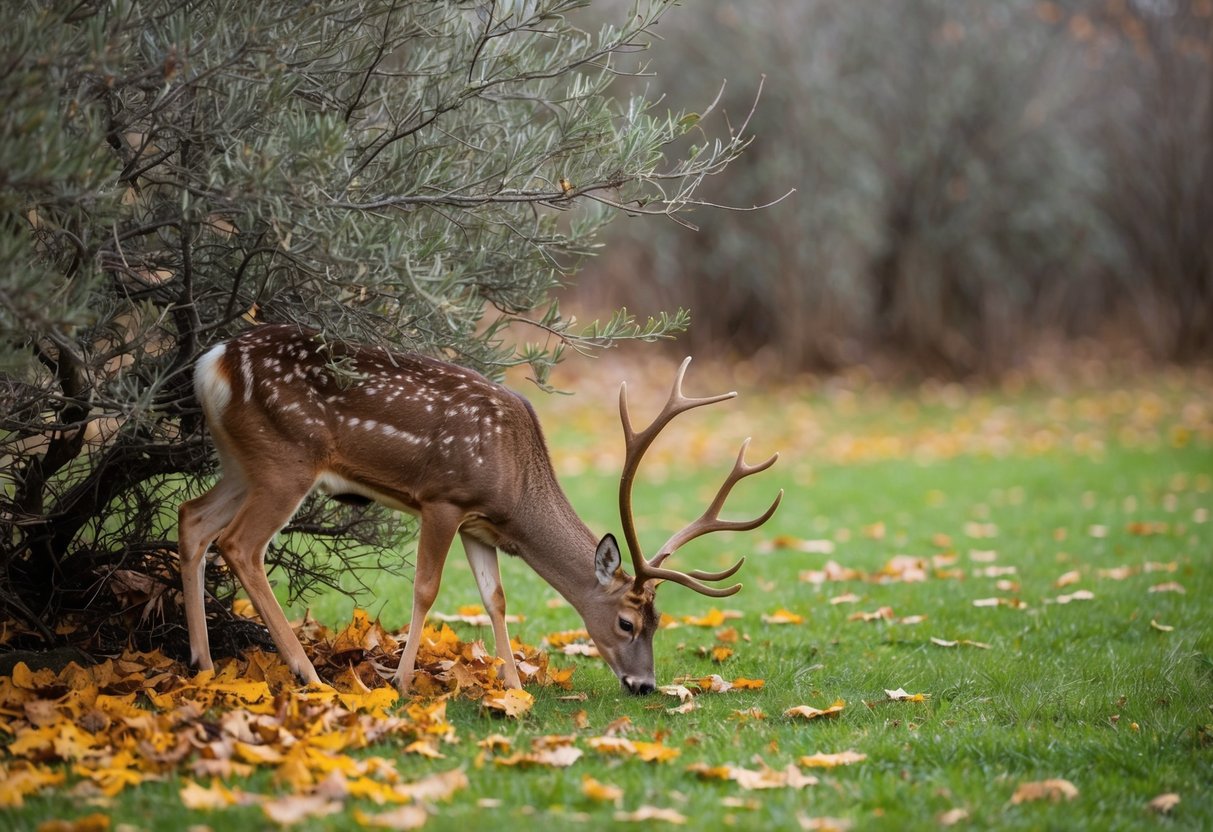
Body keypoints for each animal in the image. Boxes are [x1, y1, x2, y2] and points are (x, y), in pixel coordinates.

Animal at [177, 325, 786, 698]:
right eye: (626, 622)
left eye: (660, 623)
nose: (645, 686)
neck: (515, 488)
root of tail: (211, 363)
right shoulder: (444, 499)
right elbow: (426, 588)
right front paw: (401, 683)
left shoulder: (480, 527)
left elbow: (495, 597)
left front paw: (513, 686)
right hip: (287, 460)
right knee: (241, 544)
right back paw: (309, 675)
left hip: (243, 462)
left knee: (192, 518)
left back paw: (202, 665)